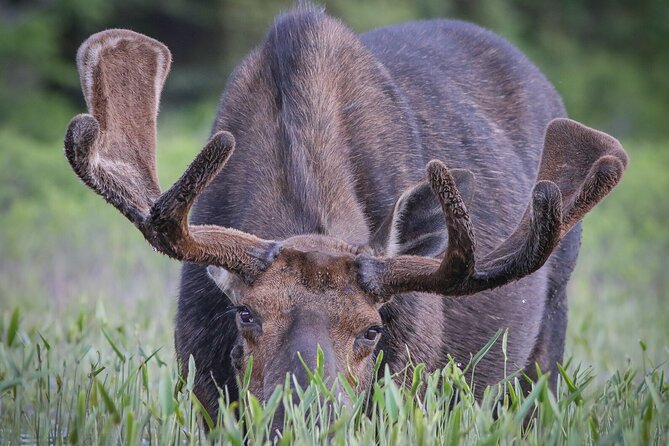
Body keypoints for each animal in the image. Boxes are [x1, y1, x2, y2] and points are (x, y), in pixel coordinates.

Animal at [64, 6, 628, 422]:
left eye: (371, 329)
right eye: (246, 313)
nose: (303, 416)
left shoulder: (409, 384)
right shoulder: (202, 384)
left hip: (547, 336)